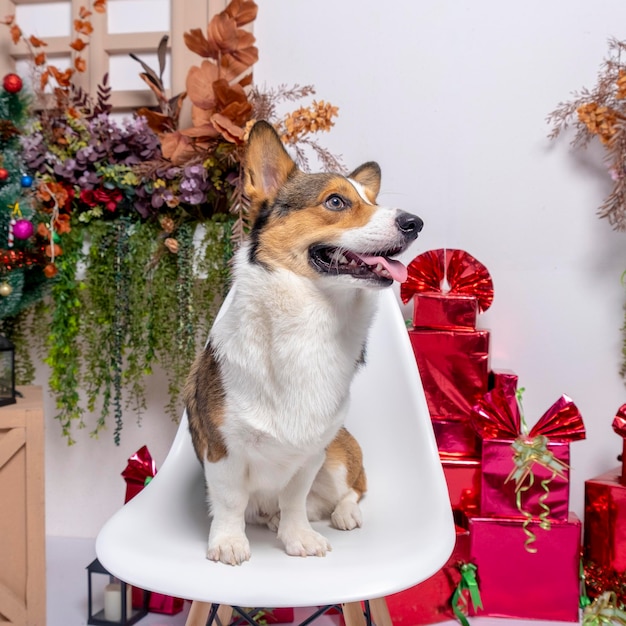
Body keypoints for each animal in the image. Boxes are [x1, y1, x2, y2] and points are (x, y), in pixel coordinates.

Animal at [183, 119, 422, 564]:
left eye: (373, 200)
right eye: (336, 201)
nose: (415, 223)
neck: (312, 320)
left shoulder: (310, 454)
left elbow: (295, 499)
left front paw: (298, 538)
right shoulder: (223, 449)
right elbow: (229, 502)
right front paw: (228, 542)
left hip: (339, 456)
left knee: (354, 489)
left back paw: (342, 514)